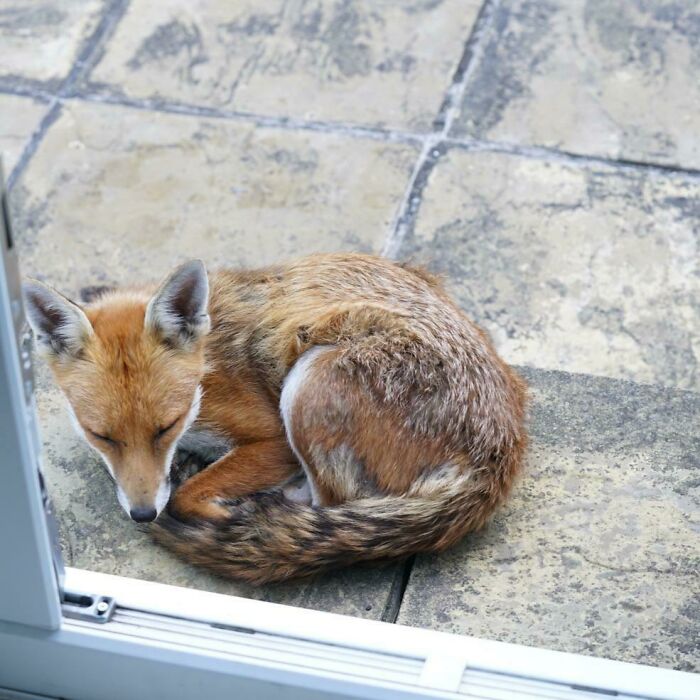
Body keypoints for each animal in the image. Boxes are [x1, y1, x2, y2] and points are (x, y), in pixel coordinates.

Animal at [23, 253, 527, 584]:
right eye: (101, 435)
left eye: (166, 426)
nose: (143, 514)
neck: (206, 371)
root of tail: (499, 454)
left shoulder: (270, 439)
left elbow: (185, 495)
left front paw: (221, 511)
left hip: (310, 382)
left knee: (327, 505)